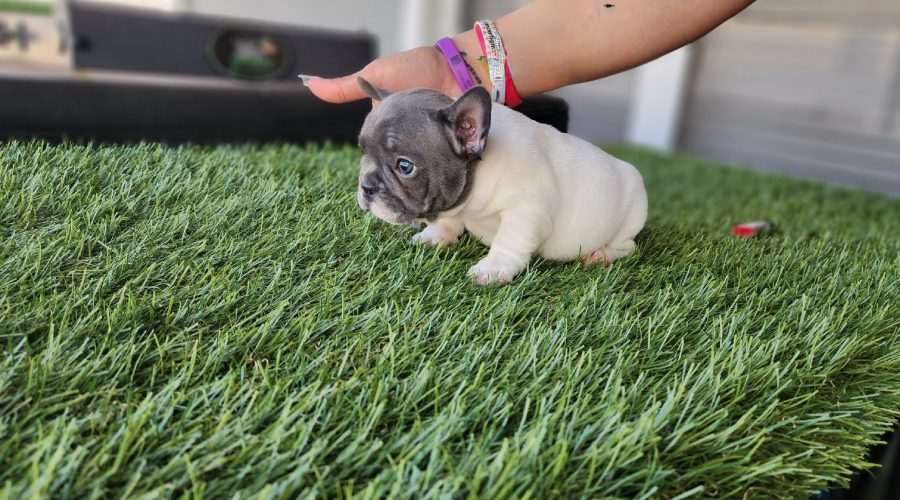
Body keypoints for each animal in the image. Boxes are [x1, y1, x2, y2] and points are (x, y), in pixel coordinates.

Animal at [354, 76, 648, 284]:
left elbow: (509, 240)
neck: (478, 176)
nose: (366, 187)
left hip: (631, 218)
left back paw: (601, 255)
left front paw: (493, 268)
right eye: (362, 152)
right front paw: (435, 235)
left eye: (405, 167)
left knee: (628, 246)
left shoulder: (527, 210)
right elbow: (448, 222)